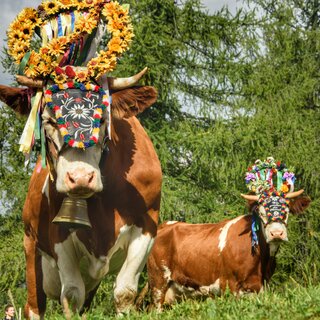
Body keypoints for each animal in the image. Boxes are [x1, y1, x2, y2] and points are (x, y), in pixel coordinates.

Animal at [0, 67, 161, 318]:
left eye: (103, 119)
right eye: (49, 120)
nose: (81, 177)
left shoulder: (147, 225)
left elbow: (124, 292)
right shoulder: (59, 232)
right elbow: (72, 294)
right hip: (31, 249)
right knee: (34, 306)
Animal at [146, 189, 310, 308]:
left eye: (287, 212)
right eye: (262, 213)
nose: (276, 233)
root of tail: (164, 225)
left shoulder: (261, 286)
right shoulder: (232, 285)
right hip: (158, 282)